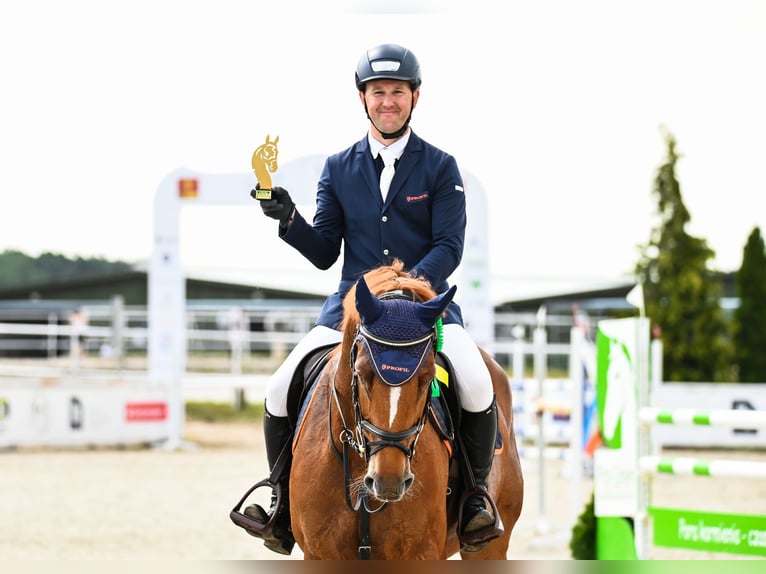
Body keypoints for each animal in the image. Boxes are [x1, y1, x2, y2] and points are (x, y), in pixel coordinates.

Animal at [287, 263, 523, 559]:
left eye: (428, 377)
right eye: (361, 374)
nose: (389, 480)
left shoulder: (419, 552)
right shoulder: (319, 553)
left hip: (490, 545)